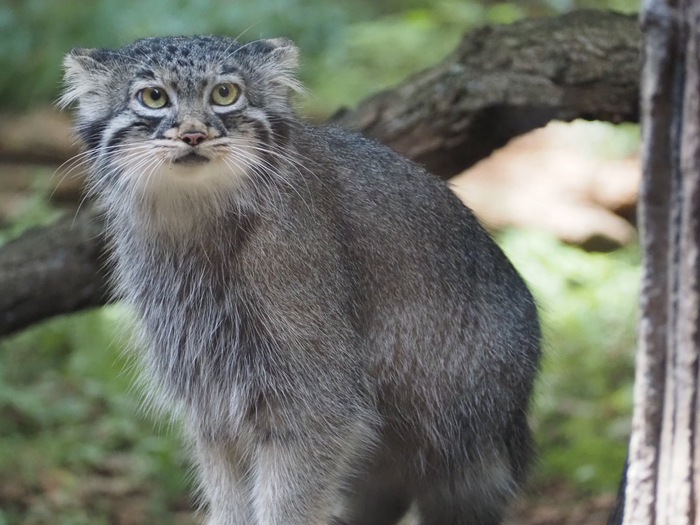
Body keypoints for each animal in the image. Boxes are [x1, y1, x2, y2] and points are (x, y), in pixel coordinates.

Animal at [61, 35, 541, 525]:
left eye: (225, 93)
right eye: (153, 97)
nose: (194, 134)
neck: (196, 223)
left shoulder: (316, 399)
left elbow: (288, 503)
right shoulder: (212, 397)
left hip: (469, 456)